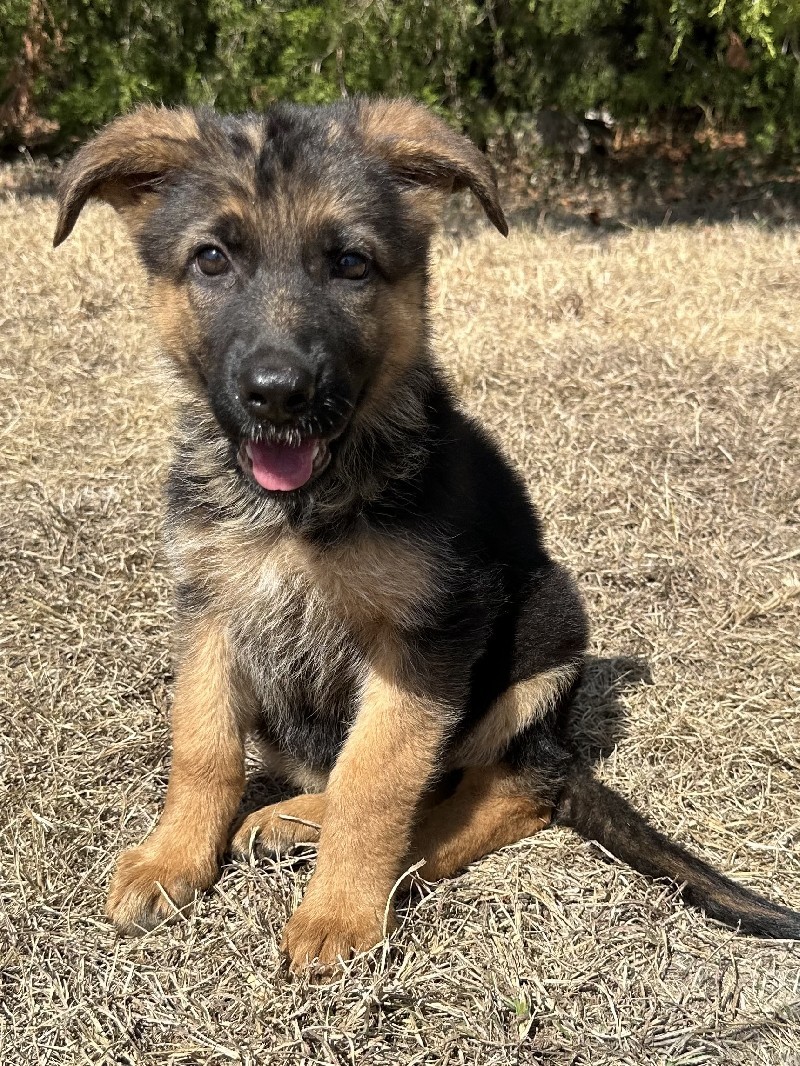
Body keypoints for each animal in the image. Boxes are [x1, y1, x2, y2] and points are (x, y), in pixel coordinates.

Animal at [54, 100, 800, 976]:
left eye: (350, 264)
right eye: (211, 260)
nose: (278, 395)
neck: (301, 511)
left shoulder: (426, 638)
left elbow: (377, 777)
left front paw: (341, 912)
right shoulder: (211, 606)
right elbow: (202, 745)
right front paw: (171, 860)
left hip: (548, 626)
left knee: (512, 785)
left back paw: (397, 856)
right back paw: (292, 817)